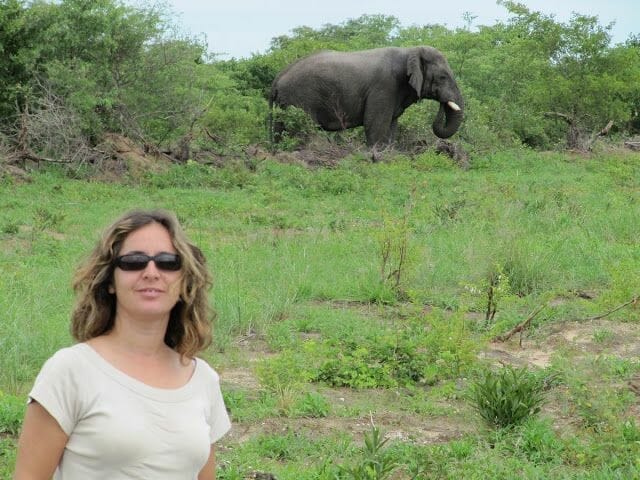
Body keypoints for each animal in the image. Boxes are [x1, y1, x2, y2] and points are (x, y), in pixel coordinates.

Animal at [269, 46, 463, 148]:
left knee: (280, 131)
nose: (442, 103)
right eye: (443, 77)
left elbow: (391, 126)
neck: (409, 51)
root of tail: (278, 77)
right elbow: (375, 125)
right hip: (299, 99)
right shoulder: (384, 86)